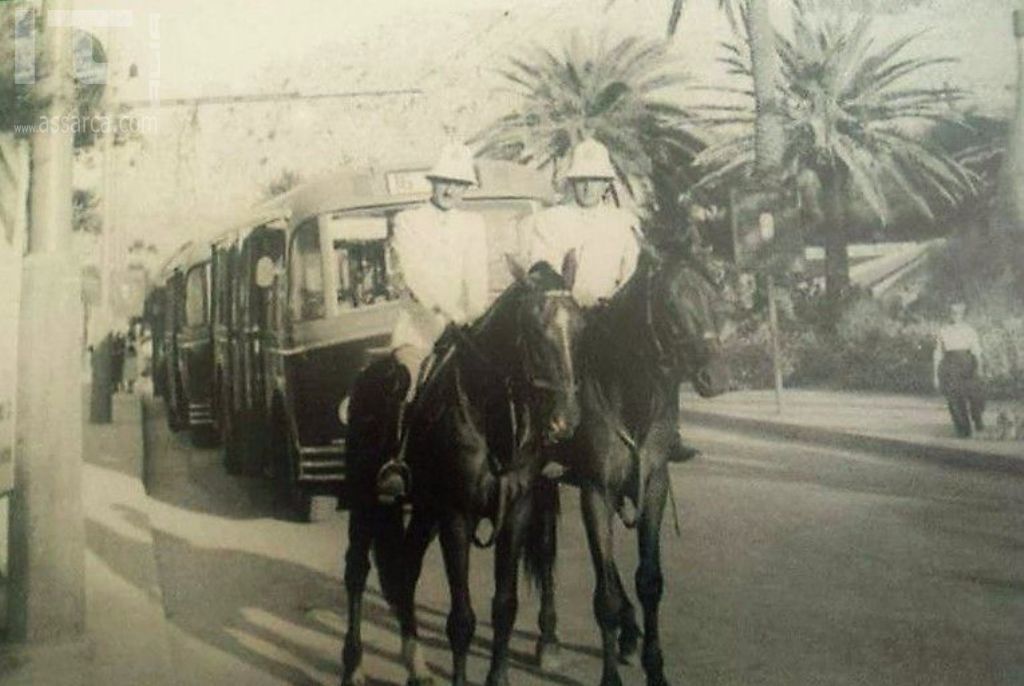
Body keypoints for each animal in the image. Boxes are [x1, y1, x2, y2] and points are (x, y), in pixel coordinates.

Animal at [342, 261, 585, 686]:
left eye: (580, 327)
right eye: (535, 330)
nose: (565, 422)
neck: (491, 416)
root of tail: (369, 374)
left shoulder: (516, 514)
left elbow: (504, 607)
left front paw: (498, 678)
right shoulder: (457, 516)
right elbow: (461, 620)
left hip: (424, 511)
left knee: (405, 571)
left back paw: (416, 665)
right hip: (366, 498)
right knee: (356, 571)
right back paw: (353, 665)